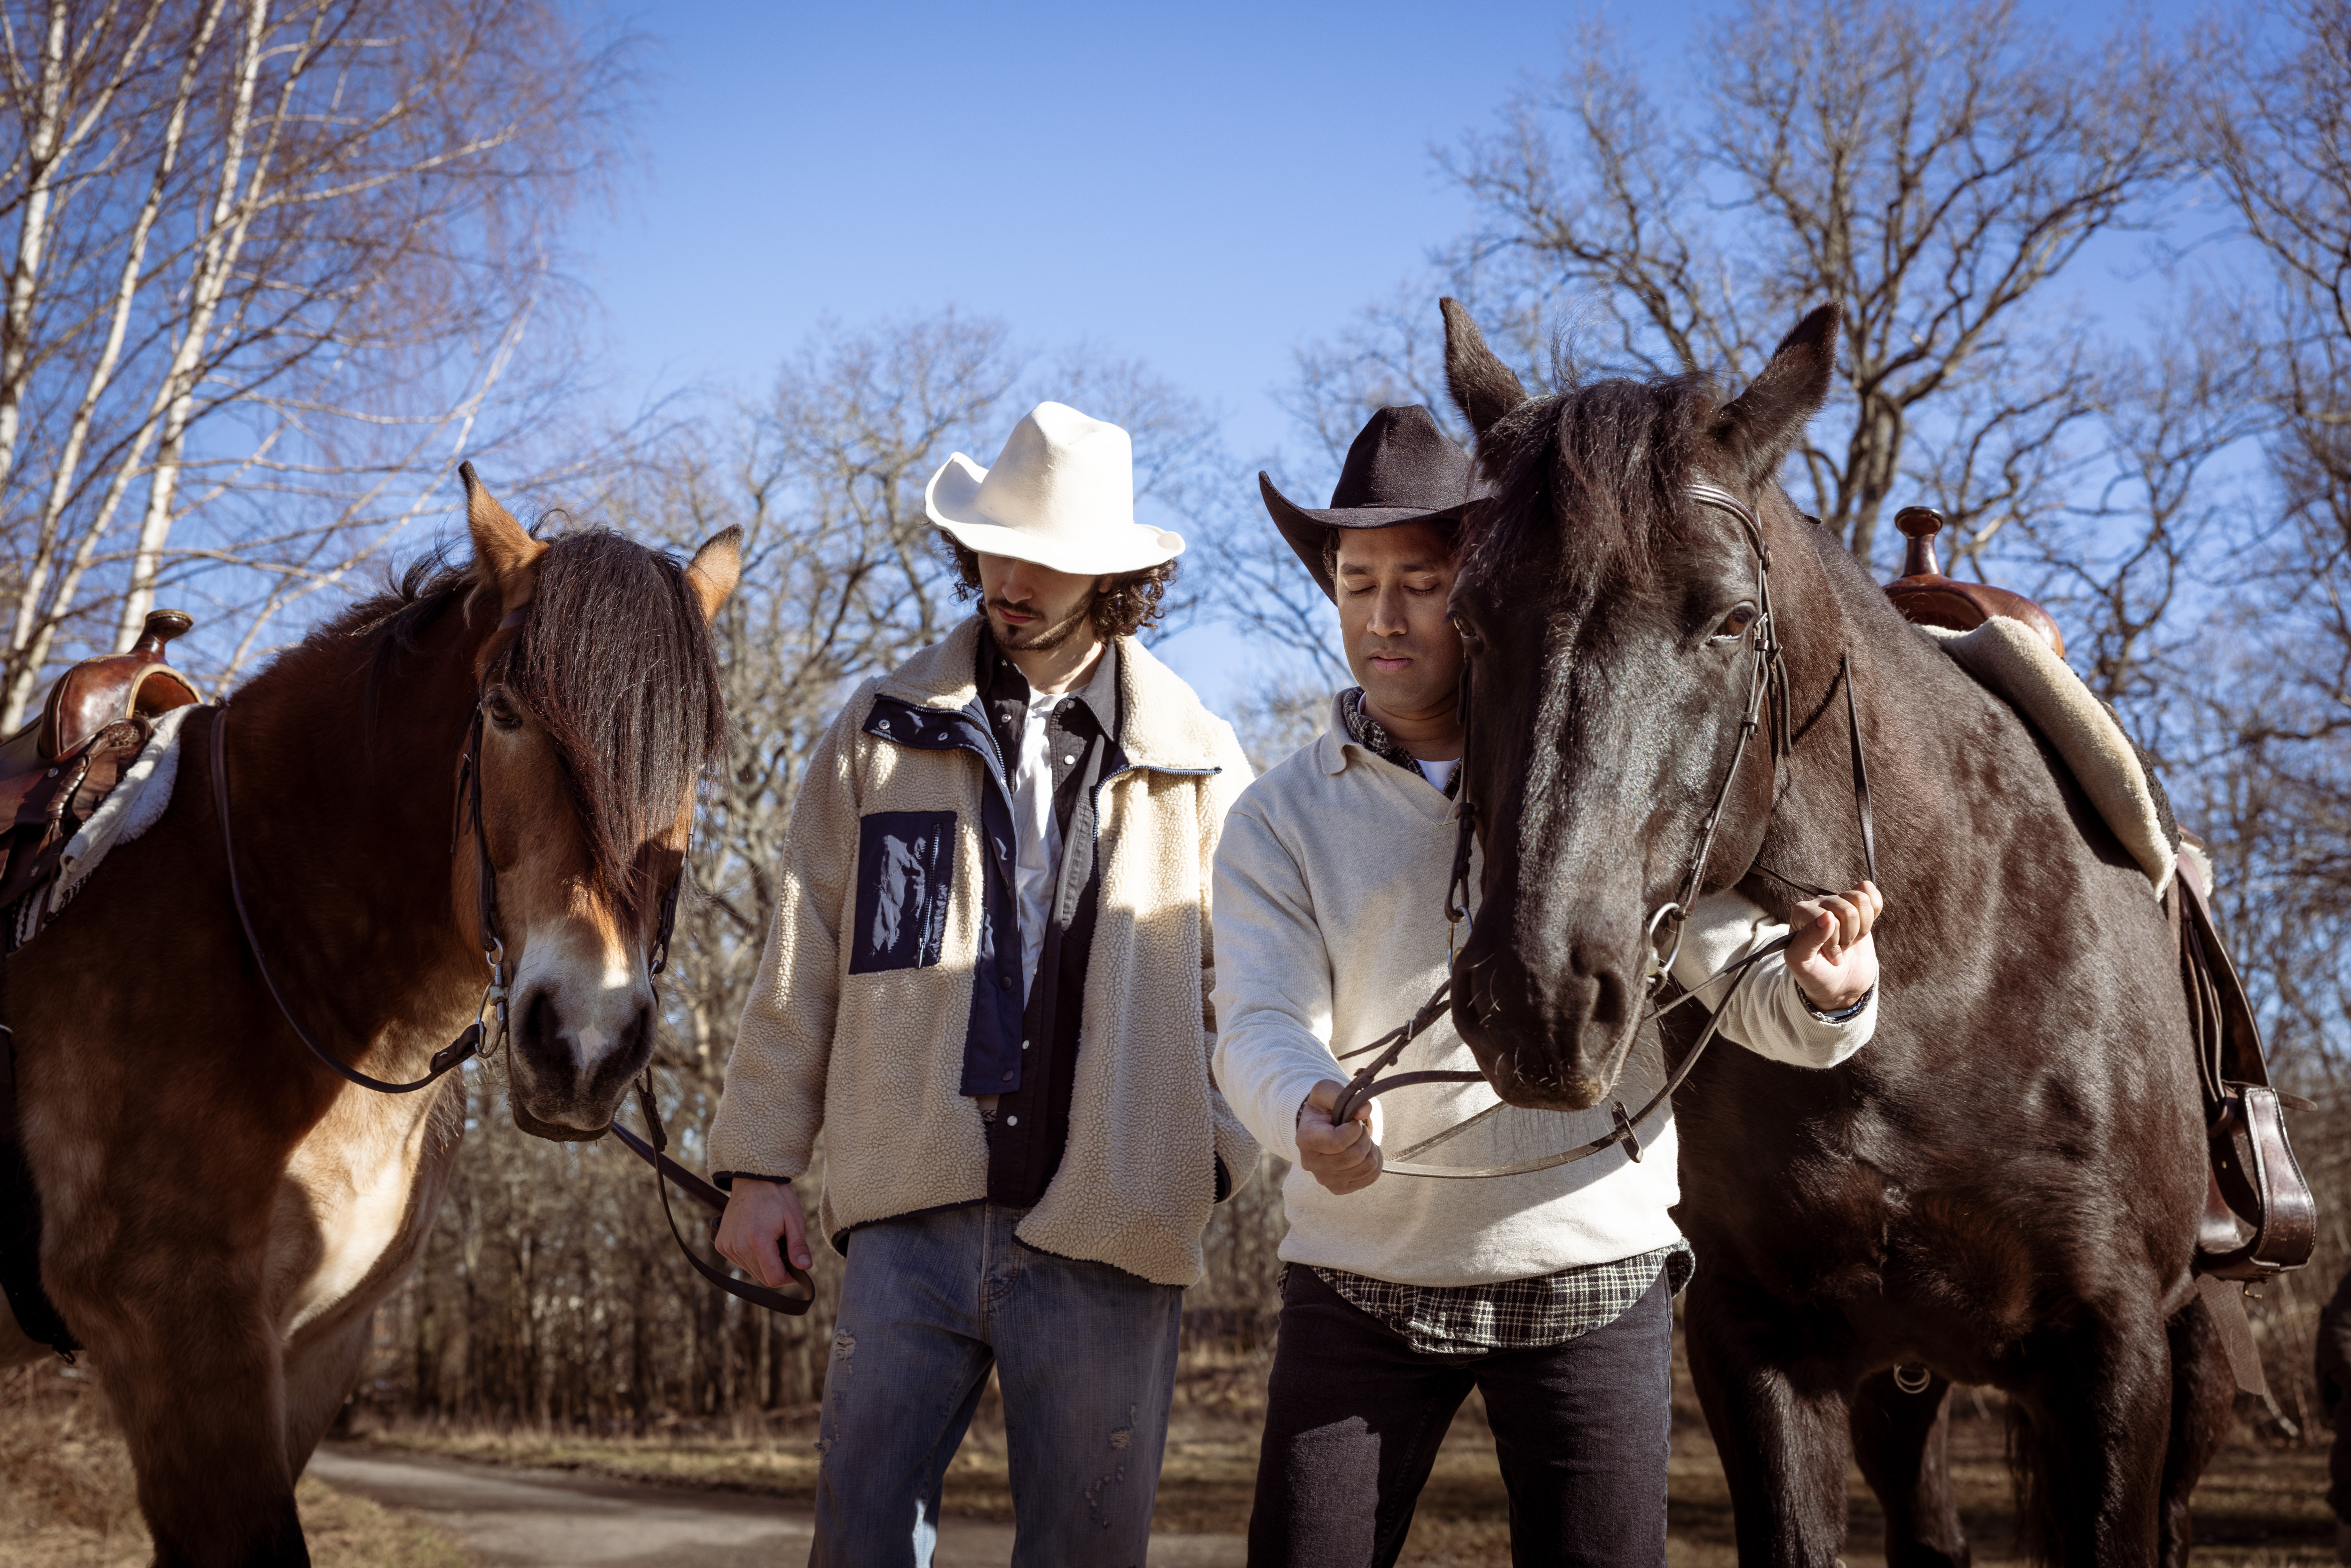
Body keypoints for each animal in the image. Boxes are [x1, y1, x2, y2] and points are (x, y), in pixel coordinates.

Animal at [1437, 299, 2232, 1566]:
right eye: (1471, 619)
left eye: (1728, 620)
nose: (1538, 996)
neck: (1945, 988)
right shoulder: (1756, 1340)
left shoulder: (2116, 1355)